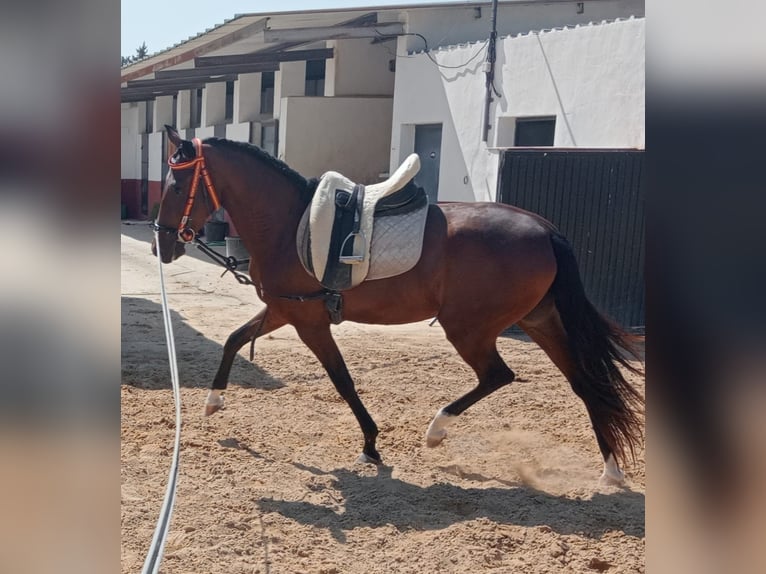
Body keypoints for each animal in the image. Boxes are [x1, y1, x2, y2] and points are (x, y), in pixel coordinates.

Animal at [153, 126, 644, 486]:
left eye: (176, 185)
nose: (161, 243)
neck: (291, 225)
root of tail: (545, 229)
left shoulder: (308, 321)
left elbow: (342, 380)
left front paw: (371, 444)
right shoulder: (284, 309)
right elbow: (235, 339)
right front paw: (213, 401)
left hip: (469, 328)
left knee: (498, 375)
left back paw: (437, 430)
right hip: (540, 323)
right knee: (586, 383)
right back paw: (611, 470)